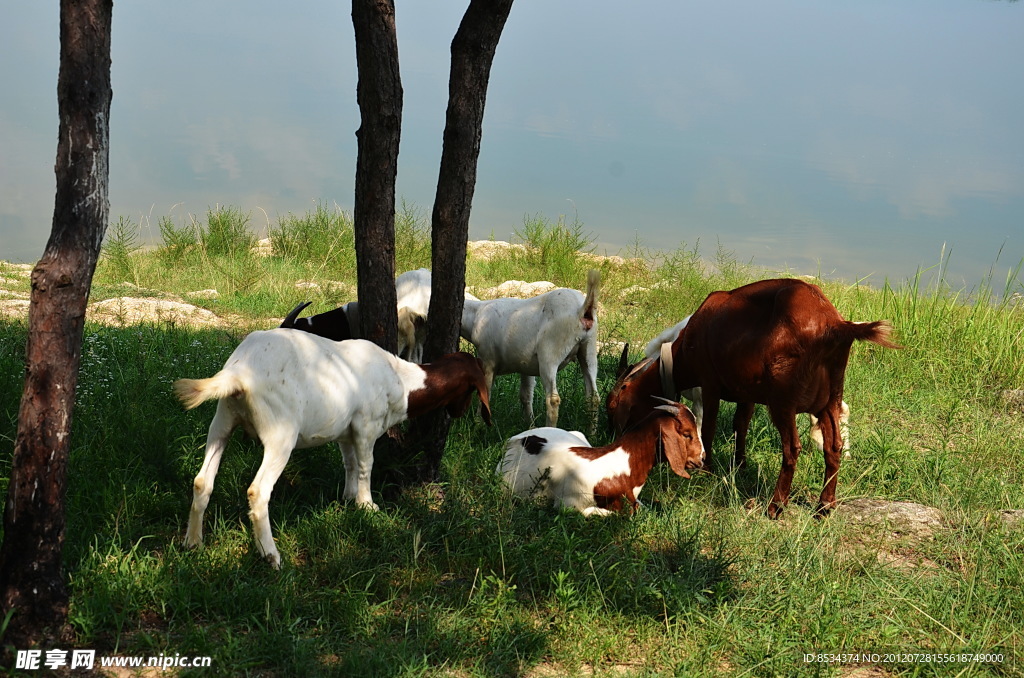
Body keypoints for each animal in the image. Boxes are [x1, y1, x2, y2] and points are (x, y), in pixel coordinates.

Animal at [175, 329, 491, 569]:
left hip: (223, 420)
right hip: (281, 433)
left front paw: (348, 499)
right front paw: (368, 507)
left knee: (202, 481)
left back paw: (193, 543)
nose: (459, 414)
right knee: (257, 491)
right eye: (471, 388)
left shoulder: (345, 432)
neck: (401, 381)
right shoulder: (365, 425)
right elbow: (365, 465)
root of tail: (239, 372)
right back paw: (271, 556)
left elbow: (349, 463)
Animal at [462, 270, 598, 432]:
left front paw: (478, 425)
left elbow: (484, 393)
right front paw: (530, 426)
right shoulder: (525, 365)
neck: (475, 316)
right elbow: (525, 395)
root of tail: (583, 309)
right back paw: (592, 433)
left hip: (550, 352)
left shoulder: (487, 359)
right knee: (593, 396)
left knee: (553, 399)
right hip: (589, 349)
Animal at [602, 278, 901, 518]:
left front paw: (706, 469)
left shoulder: (709, 383)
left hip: (783, 400)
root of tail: (835, 324)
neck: (679, 352)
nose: (612, 436)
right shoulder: (746, 393)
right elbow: (740, 425)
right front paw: (740, 464)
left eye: (613, 405)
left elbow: (708, 427)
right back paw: (825, 506)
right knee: (833, 446)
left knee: (792, 448)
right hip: (830, 398)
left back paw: (776, 507)